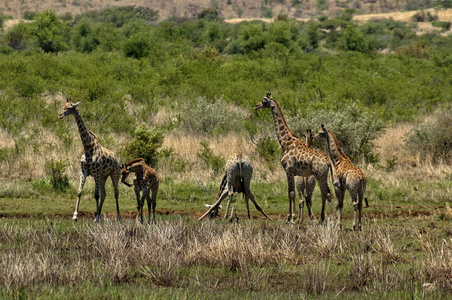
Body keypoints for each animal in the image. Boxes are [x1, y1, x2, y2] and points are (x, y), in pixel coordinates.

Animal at [254, 93, 332, 223]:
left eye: (263, 101)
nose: (256, 106)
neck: (285, 143)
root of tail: (328, 162)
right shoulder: (289, 172)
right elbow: (289, 192)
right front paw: (289, 217)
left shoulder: (289, 170)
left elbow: (291, 193)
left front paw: (293, 217)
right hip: (323, 175)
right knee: (327, 192)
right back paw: (329, 218)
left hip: (319, 175)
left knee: (325, 192)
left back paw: (325, 218)